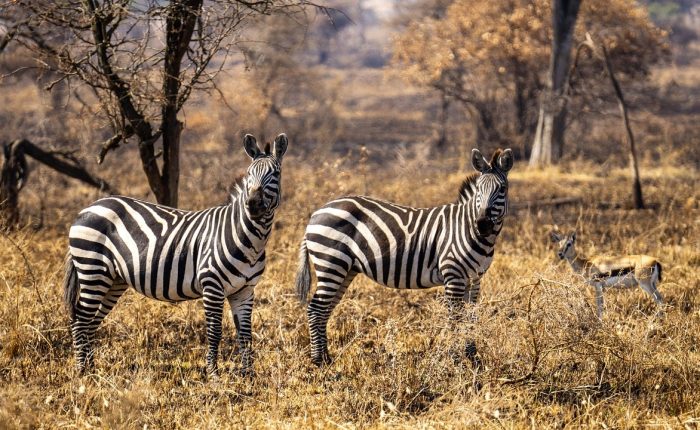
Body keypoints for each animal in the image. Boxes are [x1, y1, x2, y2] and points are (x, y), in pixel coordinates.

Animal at [63, 133, 288, 378]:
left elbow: (245, 334)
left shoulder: (245, 290)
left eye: (275, 174)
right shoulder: (212, 285)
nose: (253, 205)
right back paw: (82, 371)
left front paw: (248, 375)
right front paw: (213, 374)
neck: (249, 240)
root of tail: (88, 208)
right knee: (80, 321)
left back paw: (92, 369)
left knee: (91, 322)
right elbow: (215, 331)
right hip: (92, 270)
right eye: (249, 173)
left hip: (113, 280)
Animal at [296, 148, 516, 366]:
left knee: (325, 309)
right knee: (316, 309)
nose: (483, 224)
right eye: (479, 189)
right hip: (331, 262)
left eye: (502, 189)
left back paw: (326, 357)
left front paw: (473, 358)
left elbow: (471, 318)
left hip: (345, 269)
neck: (468, 229)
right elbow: (455, 319)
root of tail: (317, 212)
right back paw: (318, 360)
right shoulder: (453, 275)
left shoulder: (474, 278)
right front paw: (456, 360)